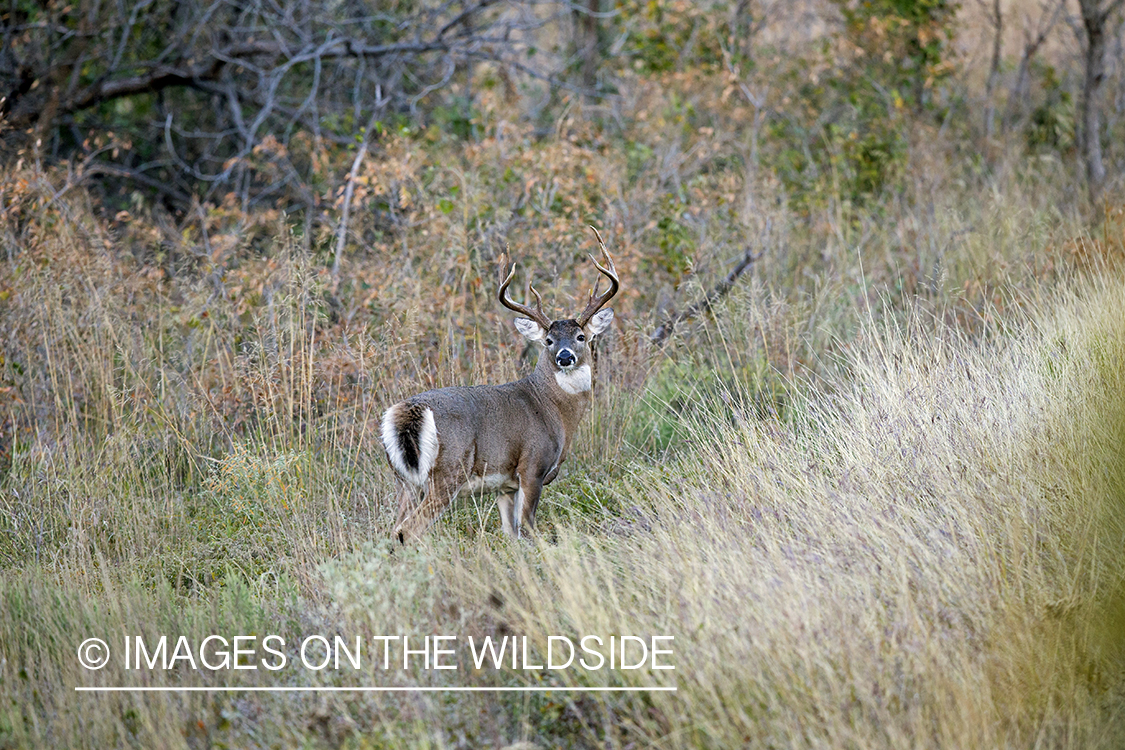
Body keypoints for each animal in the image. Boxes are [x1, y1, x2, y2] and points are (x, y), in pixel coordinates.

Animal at [382, 226, 621, 541]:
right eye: (549, 340)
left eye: (581, 337)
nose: (565, 356)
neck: (553, 409)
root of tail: (408, 411)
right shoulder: (532, 465)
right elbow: (529, 528)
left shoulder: (505, 486)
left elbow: (512, 533)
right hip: (447, 472)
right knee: (408, 530)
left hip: (403, 481)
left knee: (394, 529)